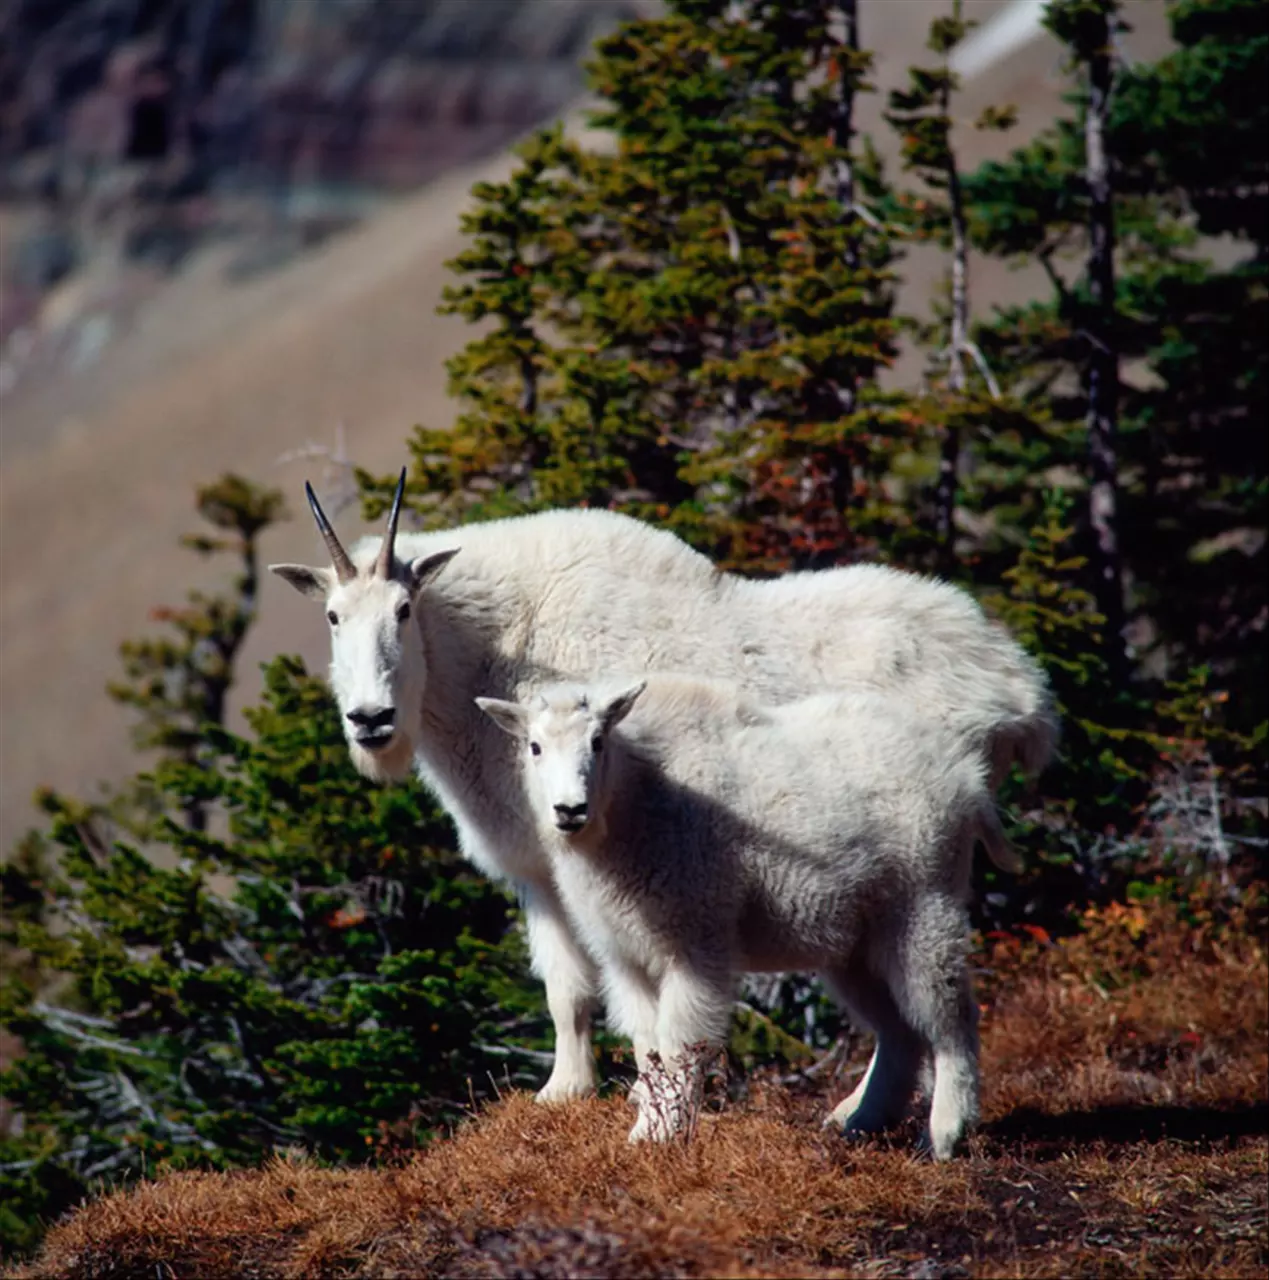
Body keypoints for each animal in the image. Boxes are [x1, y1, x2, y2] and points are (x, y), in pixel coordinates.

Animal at [267, 471, 1050, 1100]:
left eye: (403, 611)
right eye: (332, 617)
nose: (370, 718)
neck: (484, 662)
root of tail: (1018, 689)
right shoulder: (542, 869)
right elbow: (567, 989)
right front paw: (566, 1092)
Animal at [478, 680, 1014, 1162]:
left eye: (597, 741)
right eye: (534, 746)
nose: (569, 810)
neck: (634, 802)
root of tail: (966, 778)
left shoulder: (695, 938)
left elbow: (679, 1043)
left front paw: (661, 1135)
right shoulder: (626, 955)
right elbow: (647, 1046)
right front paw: (650, 1127)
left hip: (925, 903)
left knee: (950, 1014)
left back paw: (944, 1135)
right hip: (858, 941)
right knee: (898, 1030)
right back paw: (860, 1122)